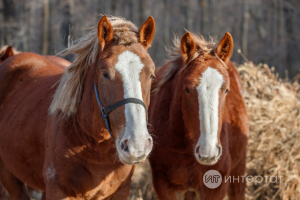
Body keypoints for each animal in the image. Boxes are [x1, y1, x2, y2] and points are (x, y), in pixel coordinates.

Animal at [1, 15, 157, 200]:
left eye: (151, 74)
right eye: (105, 74)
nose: (136, 144)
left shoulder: (121, 191)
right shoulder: (59, 191)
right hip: (10, 179)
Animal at [149, 32, 250, 199]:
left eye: (226, 90)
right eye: (187, 89)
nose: (208, 152)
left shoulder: (216, 187)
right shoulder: (163, 185)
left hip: (239, 169)